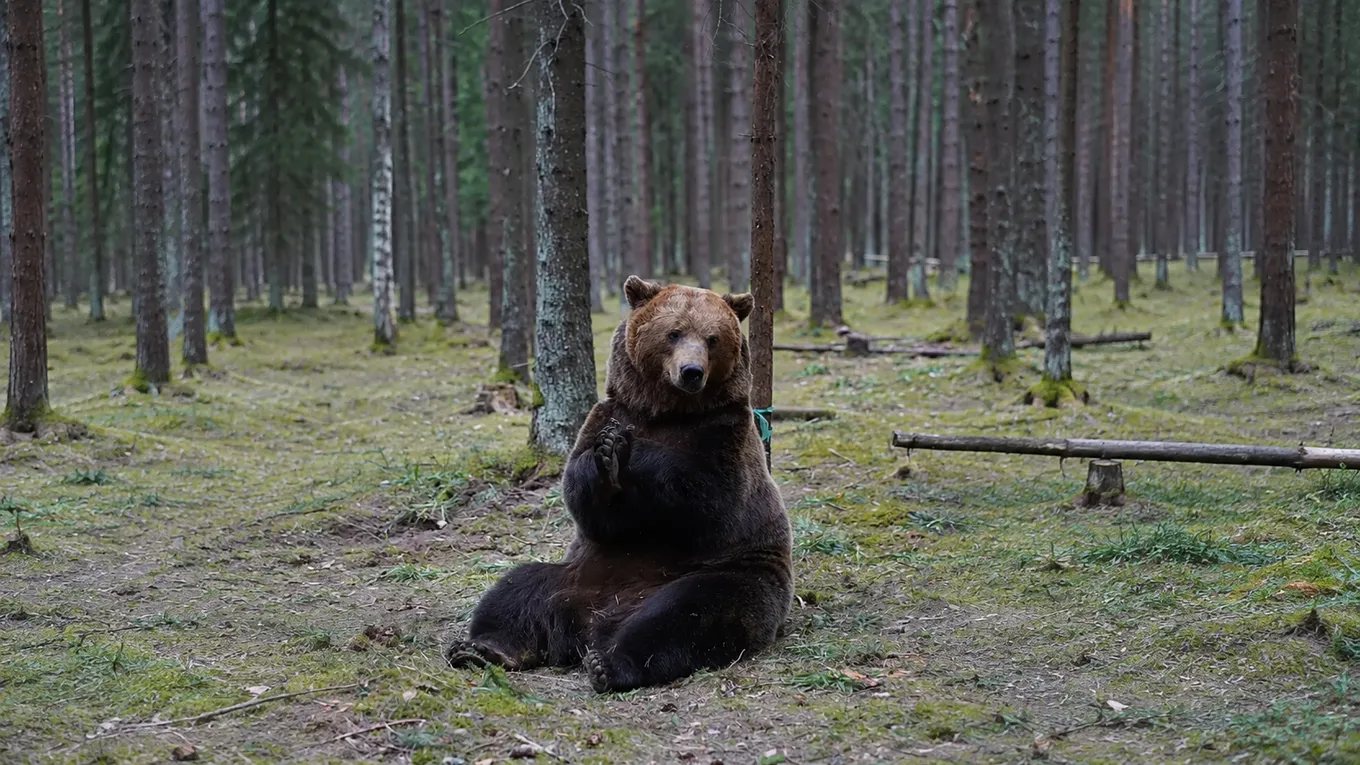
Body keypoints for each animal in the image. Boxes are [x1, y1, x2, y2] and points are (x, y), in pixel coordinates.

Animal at [445, 275, 794, 693]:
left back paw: (609, 663)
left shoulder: (726, 435)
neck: (667, 413)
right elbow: (585, 497)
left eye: (712, 338)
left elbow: (709, 497)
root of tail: (588, 624)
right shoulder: (607, 413)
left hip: (730, 573)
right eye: (674, 333)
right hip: (579, 573)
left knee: (686, 615)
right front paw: (606, 453)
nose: (691, 371)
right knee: (517, 590)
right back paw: (481, 648)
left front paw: (626, 451)